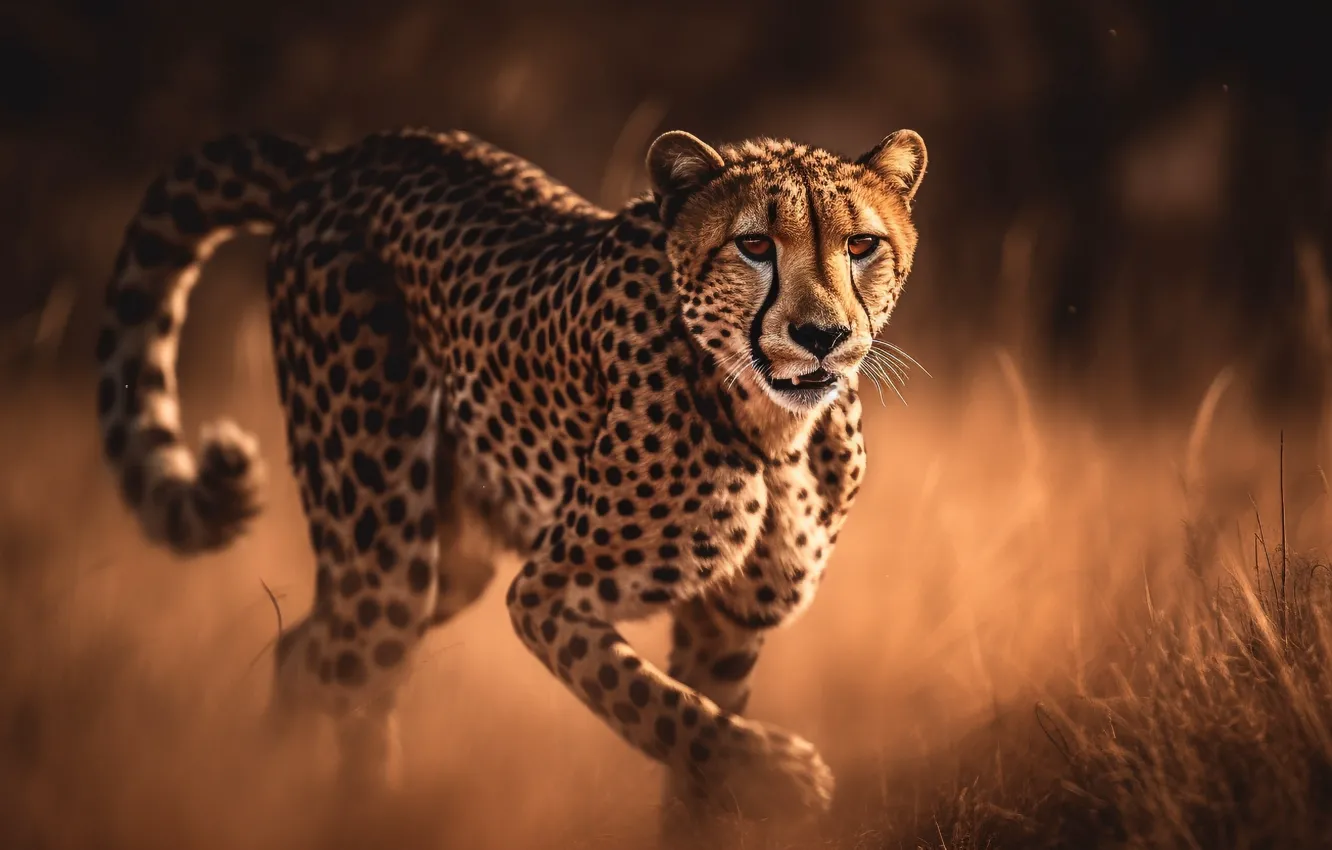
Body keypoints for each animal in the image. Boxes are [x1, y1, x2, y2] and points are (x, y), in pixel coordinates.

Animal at [93, 124, 927, 831]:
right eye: (753, 245)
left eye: (861, 245)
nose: (820, 335)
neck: (772, 429)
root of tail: (342, 155)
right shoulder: (546, 594)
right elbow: (659, 708)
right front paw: (783, 775)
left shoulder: (728, 623)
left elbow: (696, 755)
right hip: (387, 560)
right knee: (339, 674)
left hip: (446, 564)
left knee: (309, 654)